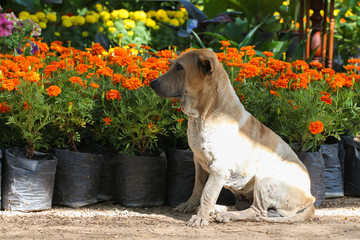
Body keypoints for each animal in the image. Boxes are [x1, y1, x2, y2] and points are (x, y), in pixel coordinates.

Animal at [149, 47, 316, 226]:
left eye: (180, 67)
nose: (152, 83)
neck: (204, 115)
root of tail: (310, 199)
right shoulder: (198, 161)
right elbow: (198, 187)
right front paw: (190, 205)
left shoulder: (218, 169)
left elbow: (207, 194)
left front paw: (200, 218)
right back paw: (218, 210)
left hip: (265, 178)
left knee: (257, 211)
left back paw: (226, 215)